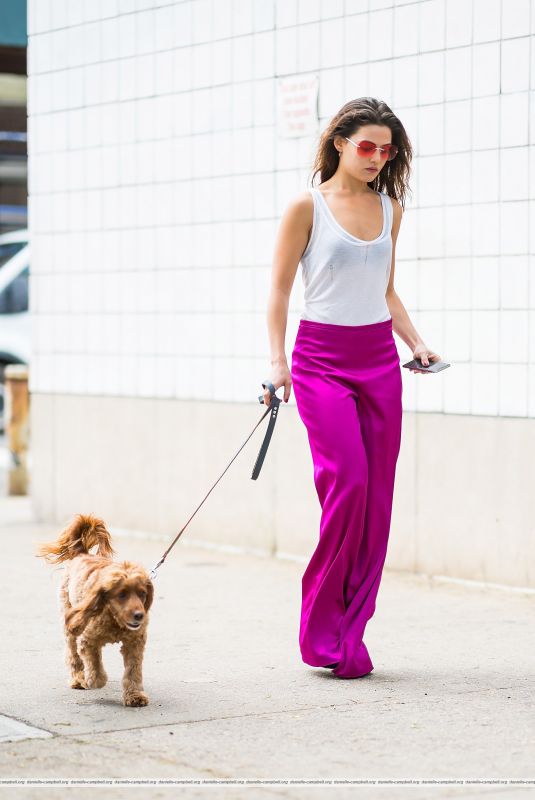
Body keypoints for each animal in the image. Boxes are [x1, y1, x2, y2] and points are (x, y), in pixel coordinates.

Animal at [36, 512, 154, 708]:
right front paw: (93, 680)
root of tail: (81, 553)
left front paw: (135, 695)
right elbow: (94, 662)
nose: (139, 616)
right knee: (73, 655)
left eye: (142, 593)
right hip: (71, 624)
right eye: (121, 594)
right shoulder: (88, 640)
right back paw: (78, 679)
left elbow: (133, 671)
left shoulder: (135, 643)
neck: (114, 619)